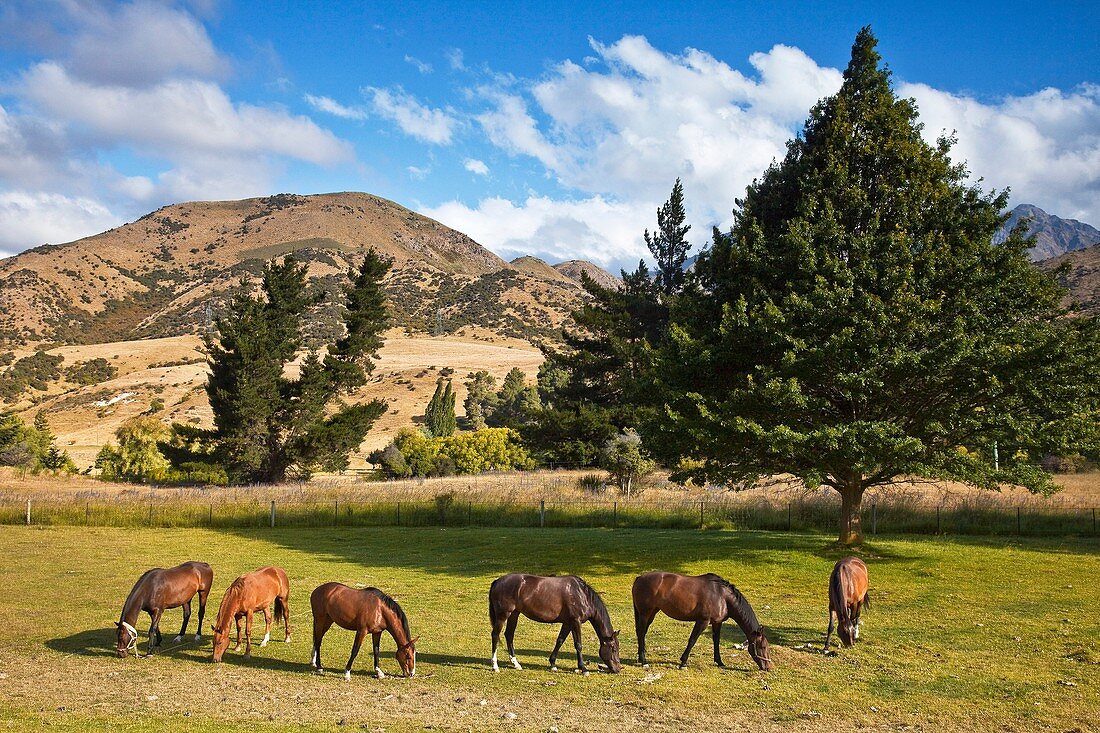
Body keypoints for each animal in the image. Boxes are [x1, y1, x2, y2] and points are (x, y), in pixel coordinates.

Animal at [488, 572, 624, 669]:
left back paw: (516, 664)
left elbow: (560, 641)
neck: (582, 595)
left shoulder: (568, 623)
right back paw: (495, 665)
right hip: (503, 615)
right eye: (613, 648)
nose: (618, 669)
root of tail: (497, 581)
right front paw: (583, 668)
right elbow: (578, 645)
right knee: (495, 635)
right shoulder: (575, 622)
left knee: (509, 635)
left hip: (514, 614)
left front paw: (553, 664)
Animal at [633, 572, 778, 669]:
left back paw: (641, 657)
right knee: (641, 633)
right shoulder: (703, 621)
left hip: (651, 613)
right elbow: (692, 640)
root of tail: (639, 578)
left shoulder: (717, 622)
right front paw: (683, 662)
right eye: (763, 646)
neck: (722, 596)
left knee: (642, 633)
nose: (768, 667)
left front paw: (719, 662)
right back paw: (644, 661)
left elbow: (716, 641)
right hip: (645, 613)